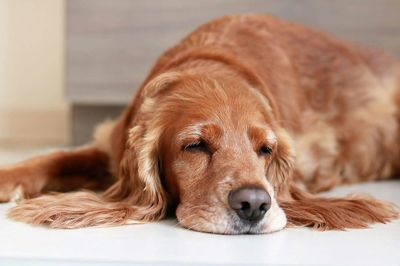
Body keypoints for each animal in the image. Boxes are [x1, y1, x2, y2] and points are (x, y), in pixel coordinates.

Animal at [0, 14, 400, 234]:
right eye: (195, 145)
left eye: (266, 149)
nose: (254, 204)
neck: (213, 64)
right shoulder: (111, 146)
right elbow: (53, 159)